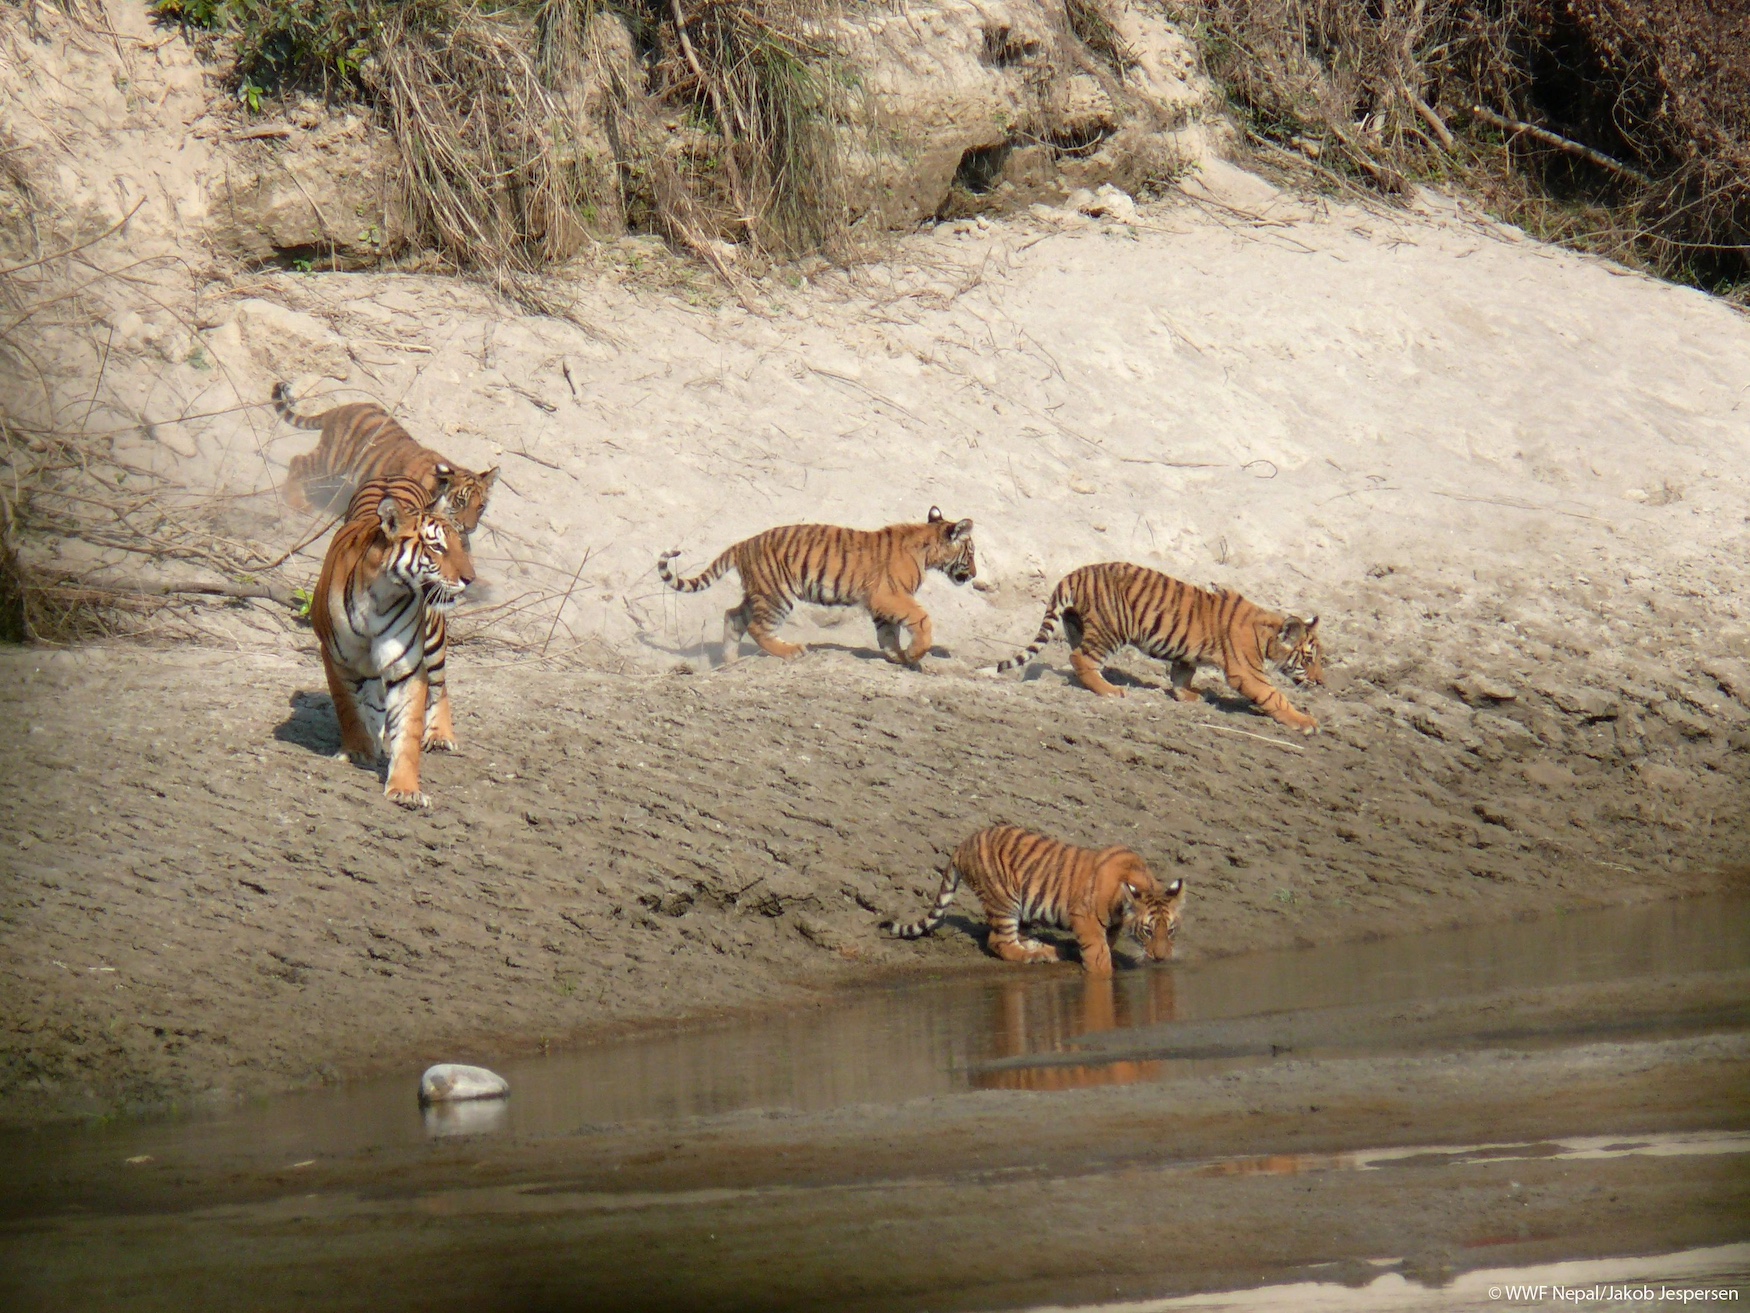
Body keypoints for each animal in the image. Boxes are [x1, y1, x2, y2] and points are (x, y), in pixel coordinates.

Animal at [273, 383, 504, 542]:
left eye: (480, 506)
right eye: (461, 501)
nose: (470, 528)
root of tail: (341, 408)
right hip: (332, 460)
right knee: (298, 462)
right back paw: (296, 501)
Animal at [308, 469, 472, 808]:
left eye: (460, 546)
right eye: (438, 548)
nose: (470, 579)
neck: (381, 595)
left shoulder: (408, 667)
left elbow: (408, 729)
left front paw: (405, 789)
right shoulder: (336, 658)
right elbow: (348, 707)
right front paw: (359, 749)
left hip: (433, 638)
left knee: (440, 685)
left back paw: (440, 735)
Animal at [658, 504, 980, 668]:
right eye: (972, 552)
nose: (975, 575)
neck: (927, 548)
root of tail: (743, 544)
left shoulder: (881, 602)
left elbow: (889, 634)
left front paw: (899, 657)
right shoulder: (889, 595)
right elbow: (922, 619)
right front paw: (915, 654)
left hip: (759, 592)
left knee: (733, 616)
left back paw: (728, 661)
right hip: (777, 595)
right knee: (757, 628)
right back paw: (791, 652)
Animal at [882, 826, 1183, 980]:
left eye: (1170, 930)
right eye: (1147, 930)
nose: (1161, 957)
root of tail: (963, 844)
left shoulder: (1112, 925)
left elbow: (1106, 943)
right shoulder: (1085, 917)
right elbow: (1098, 952)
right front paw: (1103, 971)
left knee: (1018, 936)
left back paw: (1047, 949)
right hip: (1005, 900)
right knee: (999, 941)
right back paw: (1034, 956)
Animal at [1001, 560, 1323, 735]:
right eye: (1308, 659)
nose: (1320, 682)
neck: (1267, 634)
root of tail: (1075, 573)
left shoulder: (1187, 653)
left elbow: (1182, 674)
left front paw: (1188, 696)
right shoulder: (1247, 672)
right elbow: (1276, 697)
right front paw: (1306, 722)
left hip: (1077, 625)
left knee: (1076, 656)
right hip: (1111, 629)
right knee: (1081, 657)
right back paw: (1110, 690)